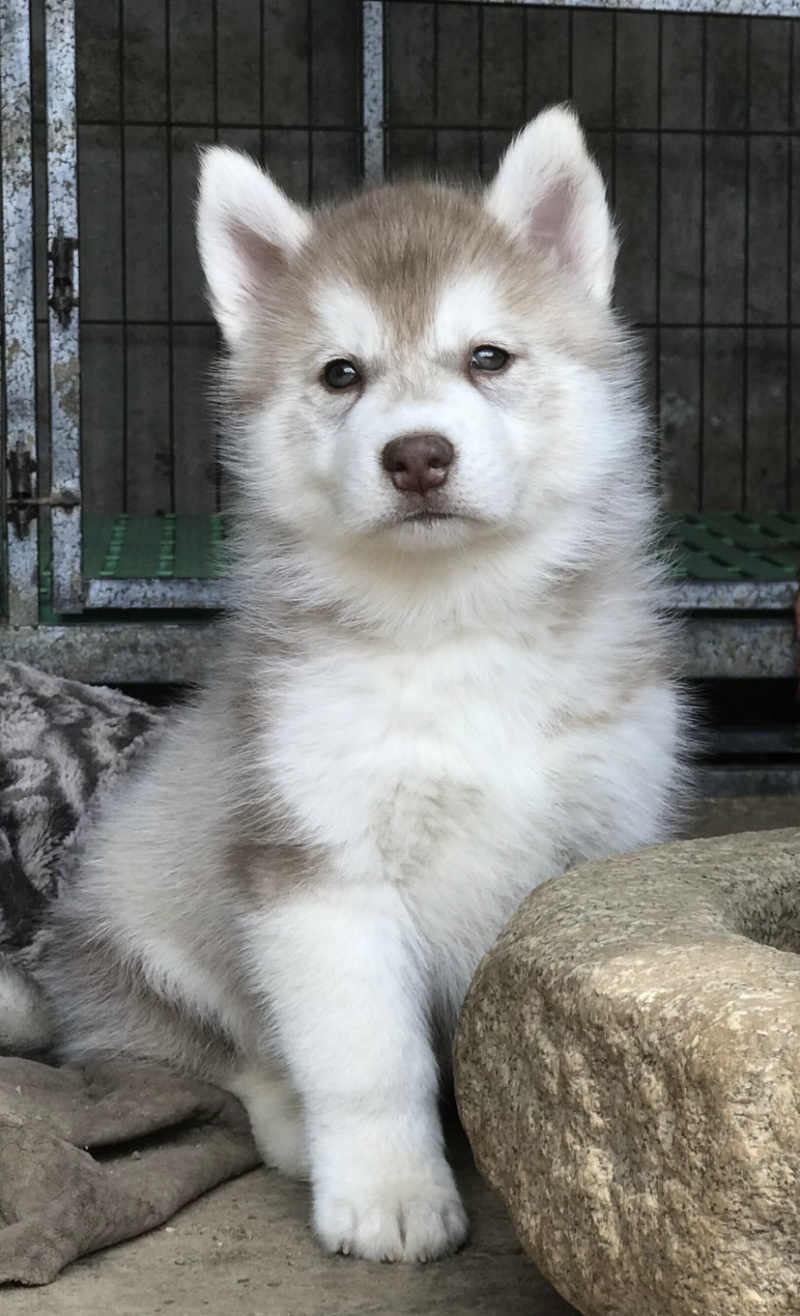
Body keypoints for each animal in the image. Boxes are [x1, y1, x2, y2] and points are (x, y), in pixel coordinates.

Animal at [35, 110, 689, 1263]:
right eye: (341, 373)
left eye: (487, 356)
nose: (416, 455)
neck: (453, 626)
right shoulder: (316, 871)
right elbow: (368, 1058)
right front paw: (390, 1193)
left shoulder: (601, 839)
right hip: (147, 901)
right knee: (194, 1053)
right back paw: (289, 1121)